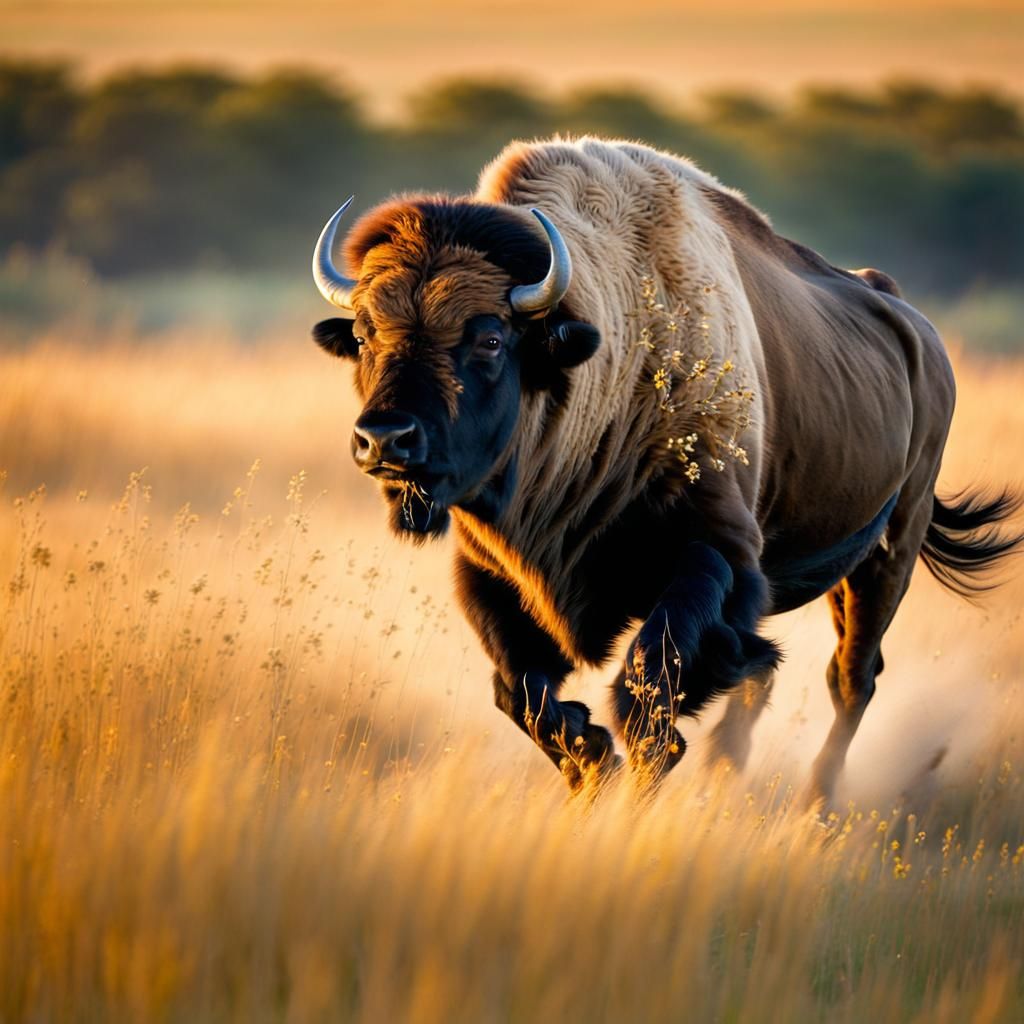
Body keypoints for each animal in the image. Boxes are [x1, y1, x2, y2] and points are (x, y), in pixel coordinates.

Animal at [310, 138, 1021, 801]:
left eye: (489, 338)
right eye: (365, 335)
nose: (384, 439)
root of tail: (917, 330)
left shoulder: (713, 556)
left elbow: (647, 687)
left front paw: (632, 774)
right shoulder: (492, 575)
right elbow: (522, 693)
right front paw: (591, 764)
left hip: (888, 548)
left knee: (851, 678)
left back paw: (815, 803)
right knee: (777, 674)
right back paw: (731, 768)